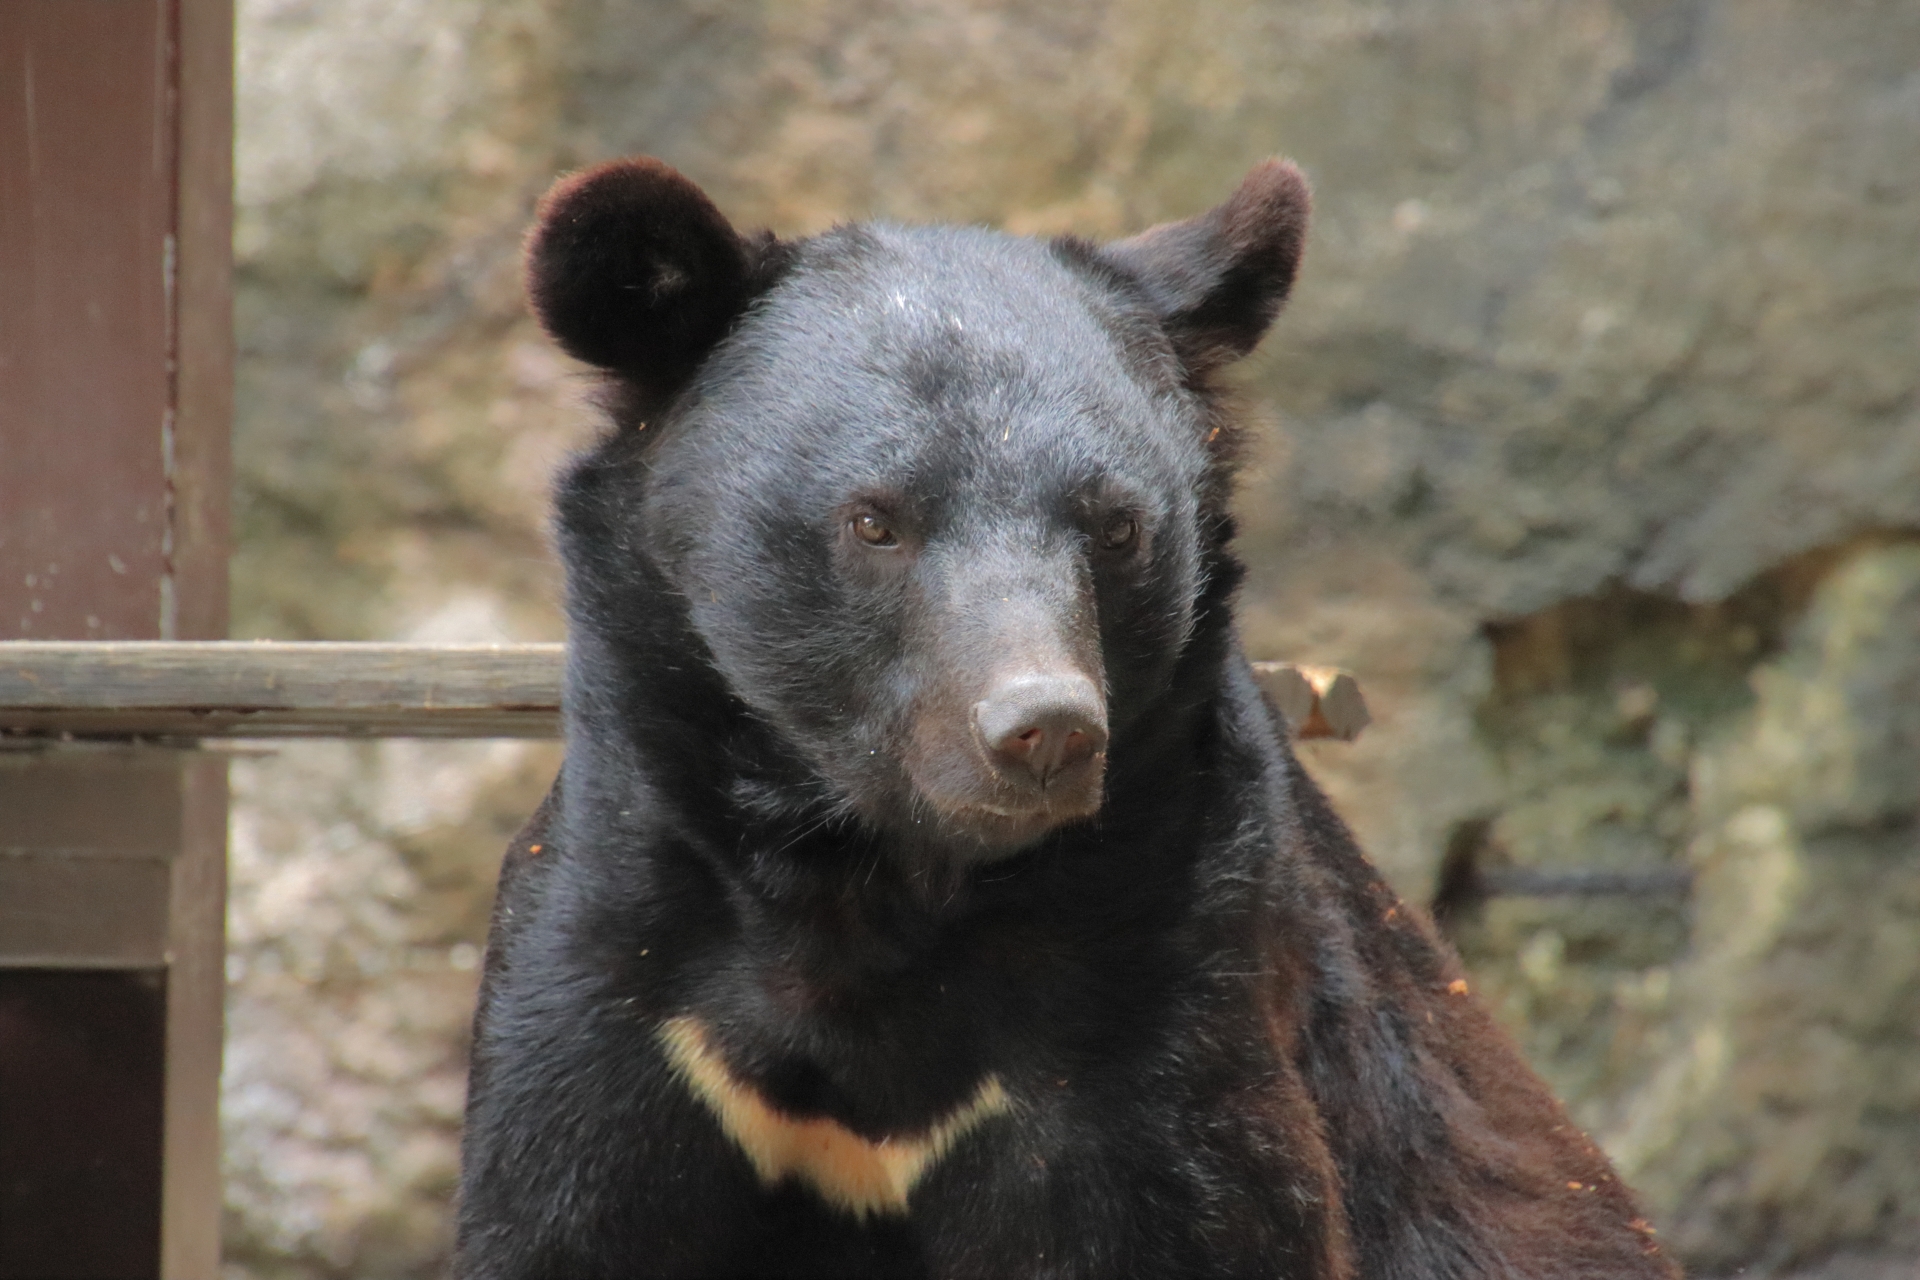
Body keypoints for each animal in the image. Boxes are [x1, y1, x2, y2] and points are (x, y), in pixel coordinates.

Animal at [453, 160, 1681, 1280]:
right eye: (874, 520)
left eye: (1116, 524)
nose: (1043, 726)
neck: (869, 884)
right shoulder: (621, 995)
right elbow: (558, 1210)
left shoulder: (1157, 1013)